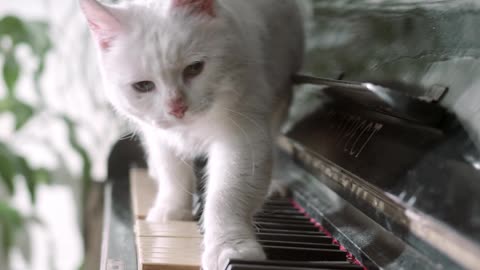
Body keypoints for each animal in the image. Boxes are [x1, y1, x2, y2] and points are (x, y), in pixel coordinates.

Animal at [79, 0, 304, 268]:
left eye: (195, 69)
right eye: (143, 86)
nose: (177, 108)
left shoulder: (242, 137)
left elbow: (226, 196)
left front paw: (230, 249)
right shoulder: (159, 136)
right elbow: (172, 174)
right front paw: (171, 211)